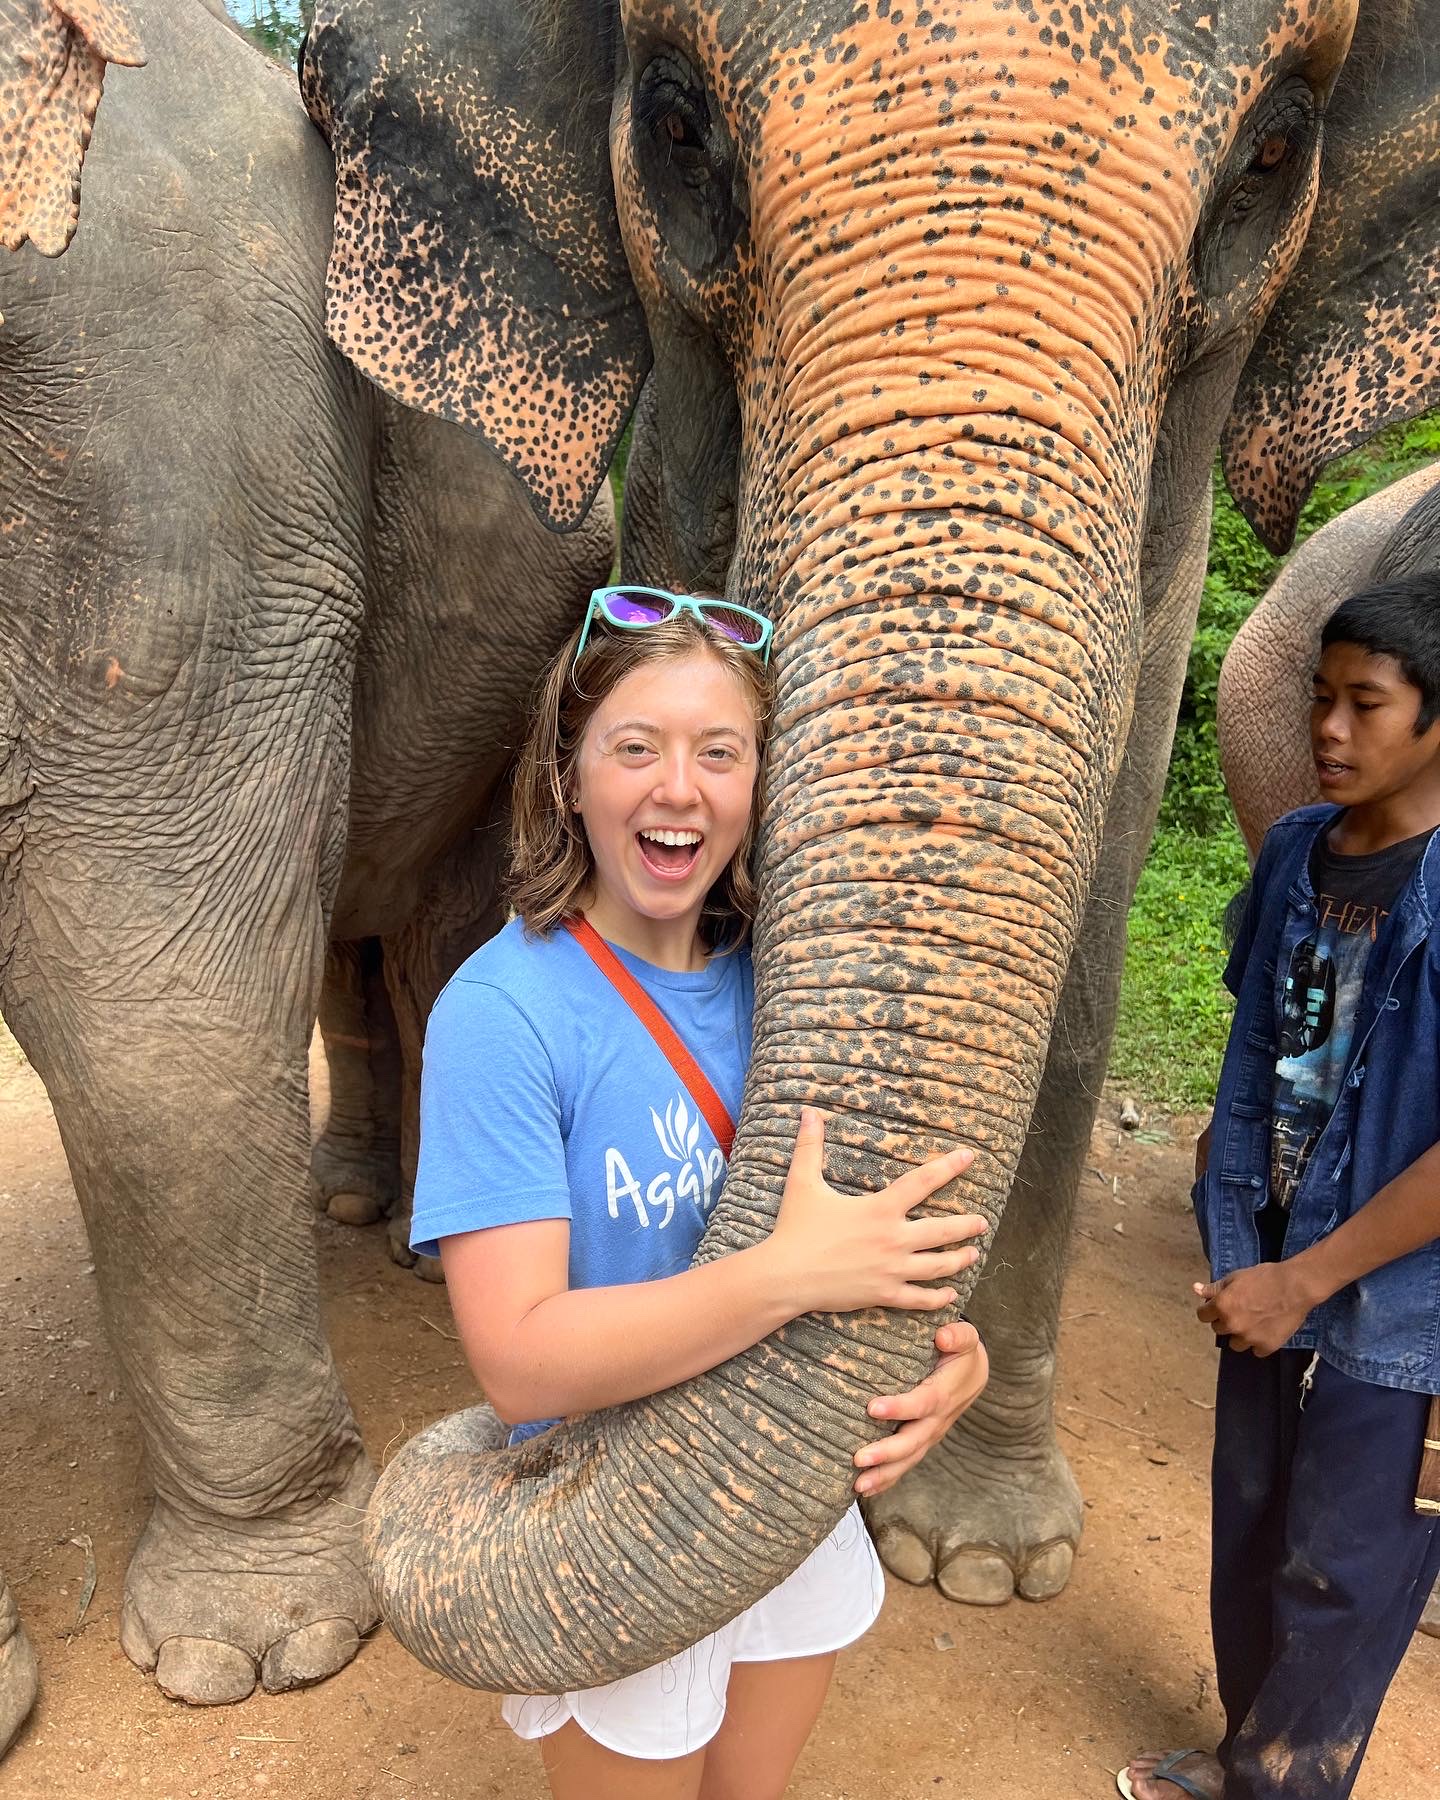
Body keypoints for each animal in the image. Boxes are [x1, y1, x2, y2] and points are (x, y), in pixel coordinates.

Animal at [0, 0, 612, 1749]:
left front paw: (257, 1660)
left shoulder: (175, 437)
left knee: (438, 937)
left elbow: (154, 992)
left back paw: (423, 1243)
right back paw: (348, 1203)